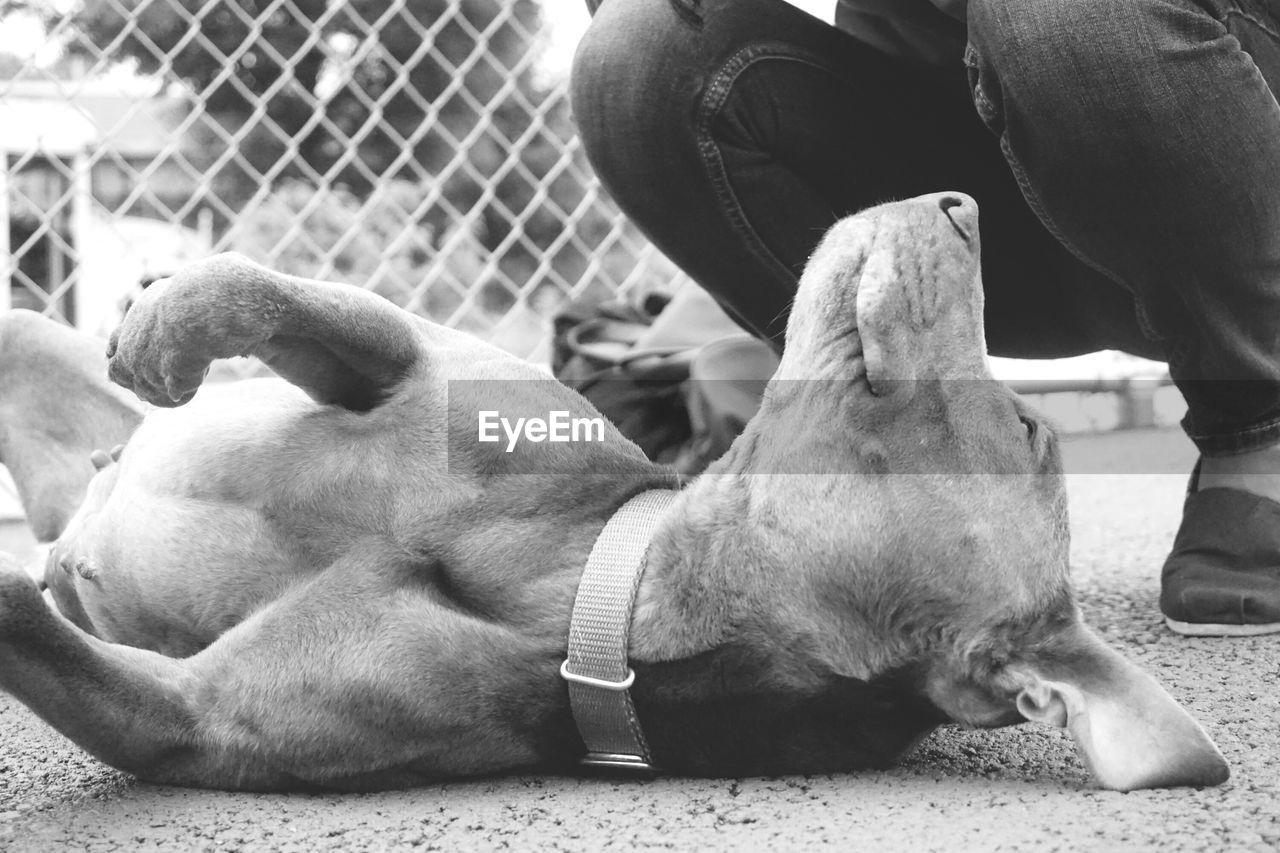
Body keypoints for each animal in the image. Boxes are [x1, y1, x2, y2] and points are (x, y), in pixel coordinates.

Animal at [0, 192, 1228, 788]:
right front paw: (166, 318)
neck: (592, 586)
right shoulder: (407, 357)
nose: (967, 202)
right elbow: (263, 291)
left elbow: (37, 626)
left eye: (1026, 427)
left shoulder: (188, 723)